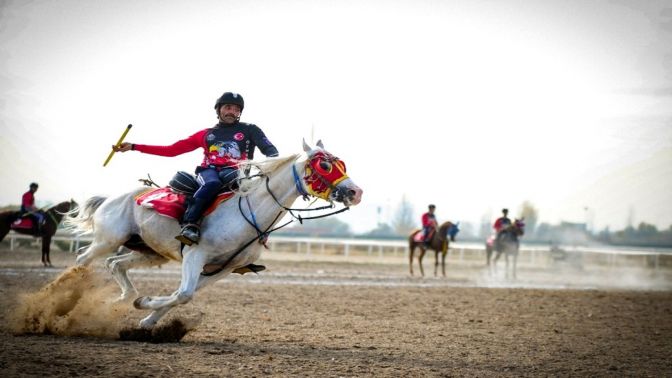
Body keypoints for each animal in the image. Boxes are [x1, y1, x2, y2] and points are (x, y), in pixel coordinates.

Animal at [65, 140, 362, 330]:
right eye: (324, 166)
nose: (355, 192)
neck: (246, 213)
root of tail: (111, 198)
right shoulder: (195, 255)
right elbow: (184, 293)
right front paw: (146, 303)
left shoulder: (222, 268)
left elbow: (184, 294)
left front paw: (147, 317)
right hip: (108, 240)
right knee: (82, 260)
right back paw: (68, 297)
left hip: (150, 252)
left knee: (114, 264)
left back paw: (123, 298)